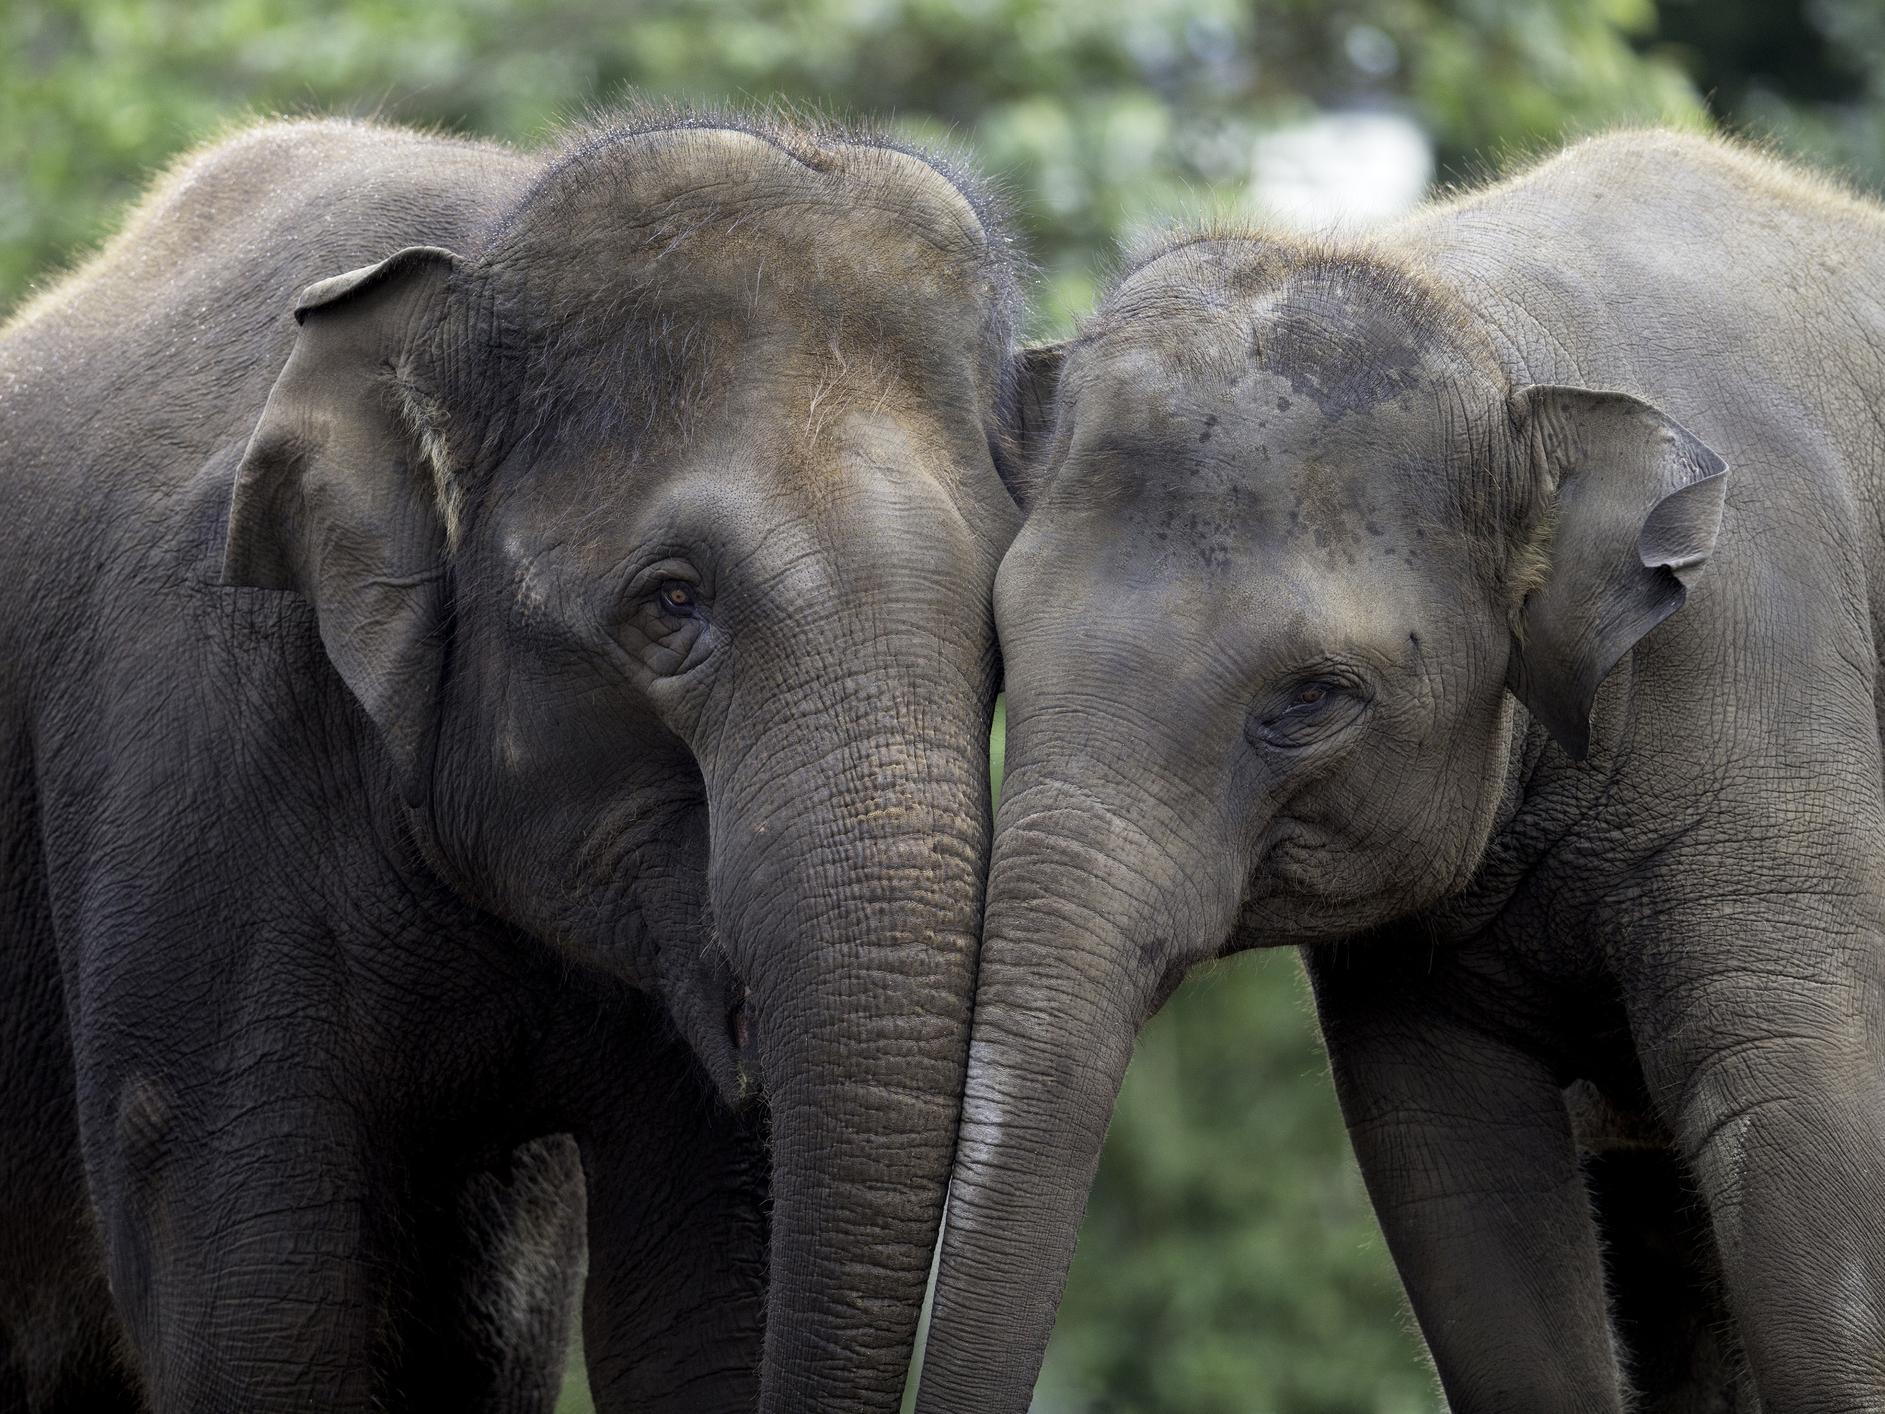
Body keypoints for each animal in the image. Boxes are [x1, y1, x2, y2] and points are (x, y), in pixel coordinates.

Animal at [0, 110, 1025, 1414]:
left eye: (999, 622)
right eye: (670, 604)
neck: (481, 236)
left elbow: (699, 1309)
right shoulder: (188, 768)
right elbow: (262, 1327)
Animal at [908, 127, 1885, 1410]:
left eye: (1312, 699)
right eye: (1003, 646)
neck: (1503, 345)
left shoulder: (1772, 700)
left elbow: (1808, 1168)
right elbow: (1466, 1202)